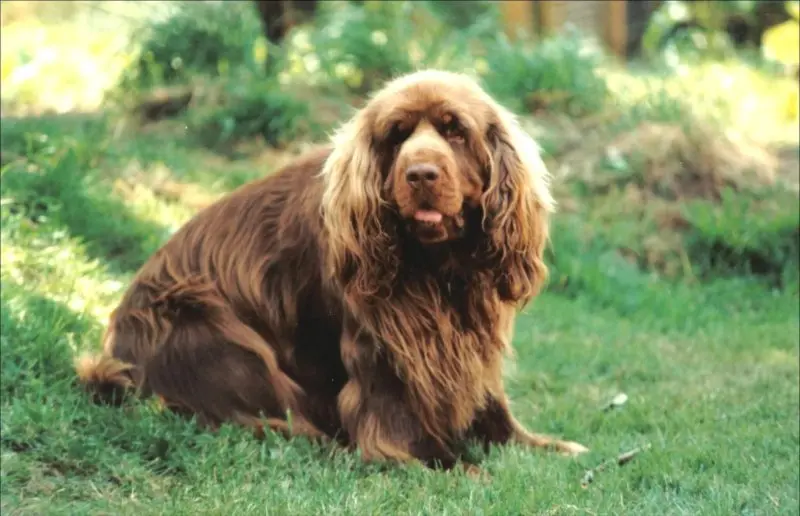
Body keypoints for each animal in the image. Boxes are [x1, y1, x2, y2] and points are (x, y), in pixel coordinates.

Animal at [76, 68, 588, 468]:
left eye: (455, 130)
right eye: (396, 134)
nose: (420, 174)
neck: (438, 265)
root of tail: (112, 352)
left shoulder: (470, 336)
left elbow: (493, 407)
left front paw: (550, 447)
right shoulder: (388, 349)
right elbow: (399, 420)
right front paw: (448, 463)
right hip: (217, 339)